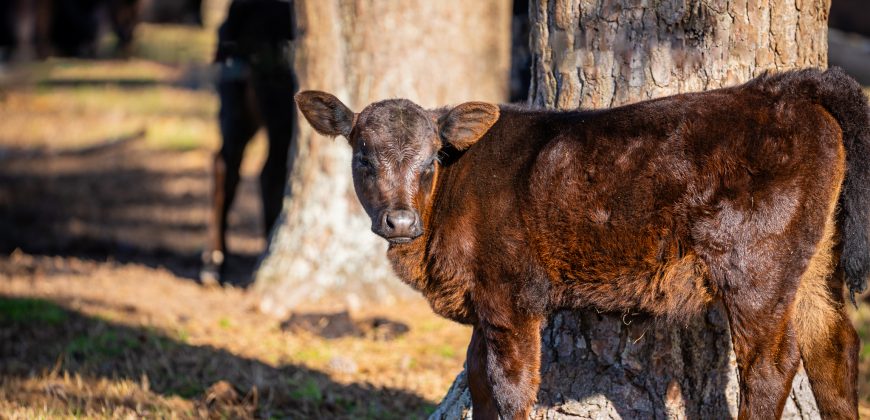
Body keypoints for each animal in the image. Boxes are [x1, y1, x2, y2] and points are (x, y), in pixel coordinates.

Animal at [296, 67, 868, 418]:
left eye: (430, 159)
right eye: (363, 157)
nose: (399, 220)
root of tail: (786, 88)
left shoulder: (512, 297)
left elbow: (510, 388)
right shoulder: (483, 302)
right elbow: (479, 383)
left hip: (755, 267)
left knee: (771, 364)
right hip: (815, 260)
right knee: (833, 343)